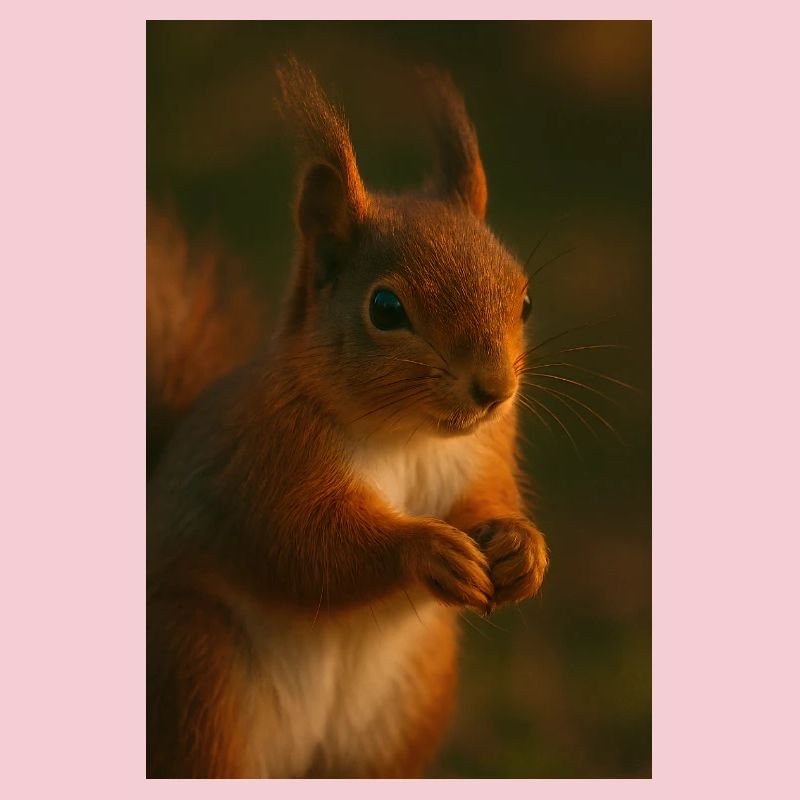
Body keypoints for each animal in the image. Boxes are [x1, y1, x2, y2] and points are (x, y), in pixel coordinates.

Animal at [147, 58, 549, 779]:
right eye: (385, 309)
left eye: (525, 300)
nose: (495, 391)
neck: (408, 436)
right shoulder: (267, 462)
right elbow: (309, 545)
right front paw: (425, 548)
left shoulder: (485, 451)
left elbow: (488, 498)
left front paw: (520, 546)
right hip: (198, 676)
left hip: (403, 710)